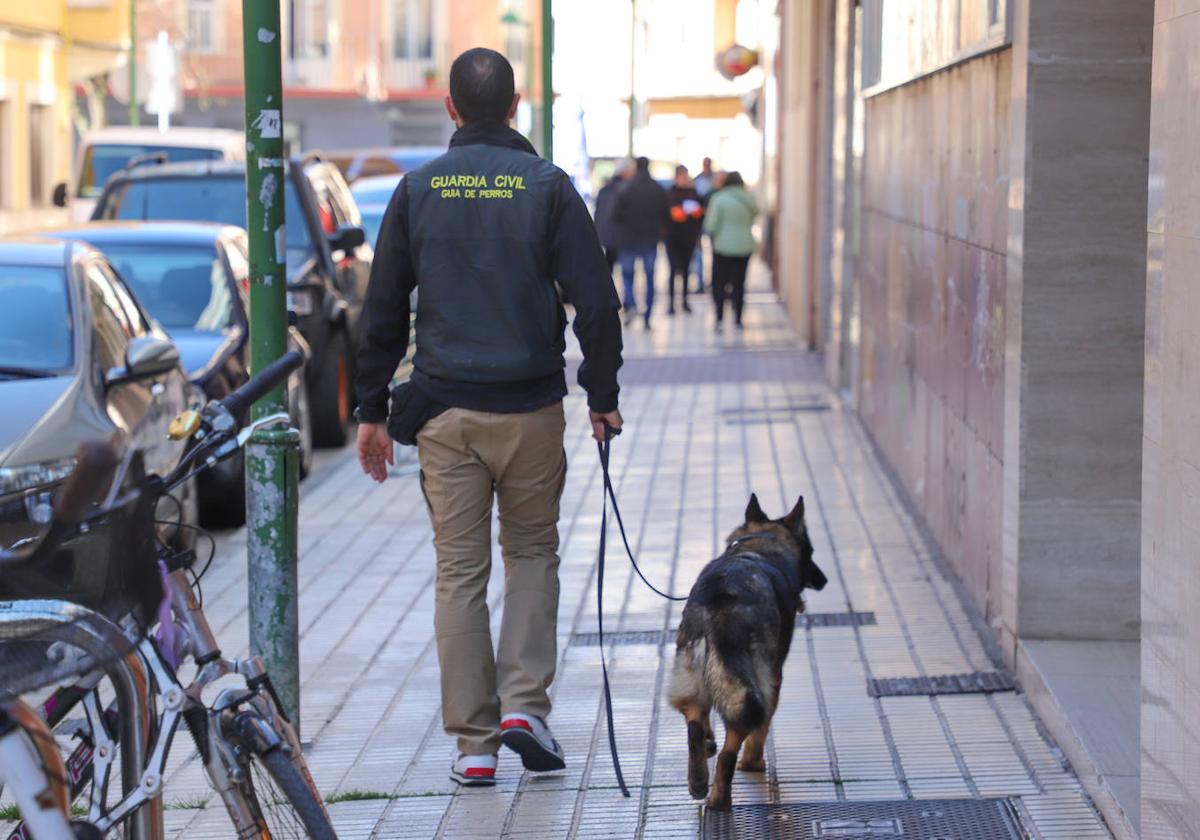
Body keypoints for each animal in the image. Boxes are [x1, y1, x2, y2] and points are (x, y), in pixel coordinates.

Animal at [667, 494, 825, 811]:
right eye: (811, 550)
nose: (824, 580)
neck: (759, 546)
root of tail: (720, 600)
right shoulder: (775, 675)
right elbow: (763, 726)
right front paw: (753, 761)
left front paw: (709, 742)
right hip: (757, 678)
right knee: (735, 741)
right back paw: (720, 796)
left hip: (691, 667)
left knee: (694, 720)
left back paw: (699, 778)